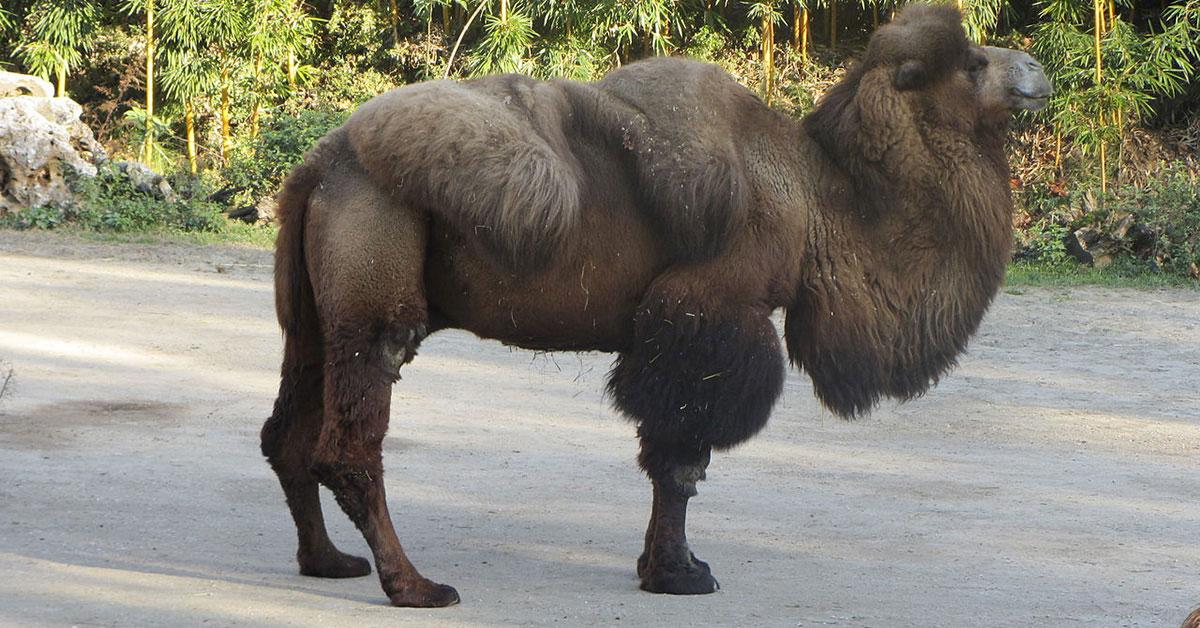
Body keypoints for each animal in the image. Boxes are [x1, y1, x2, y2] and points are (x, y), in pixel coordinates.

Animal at [260, 2, 1051, 607]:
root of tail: (320, 166)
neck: (813, 198)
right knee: (351, 441)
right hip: (376, 281)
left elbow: (669, 457)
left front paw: (669, 566)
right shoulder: (710, 314)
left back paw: (327, 561)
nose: (1036, 71)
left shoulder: (680, 330)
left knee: (287, 432)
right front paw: (679, 574)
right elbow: (681, 456)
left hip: (310, 314)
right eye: (972, 64)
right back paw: (415, 586)